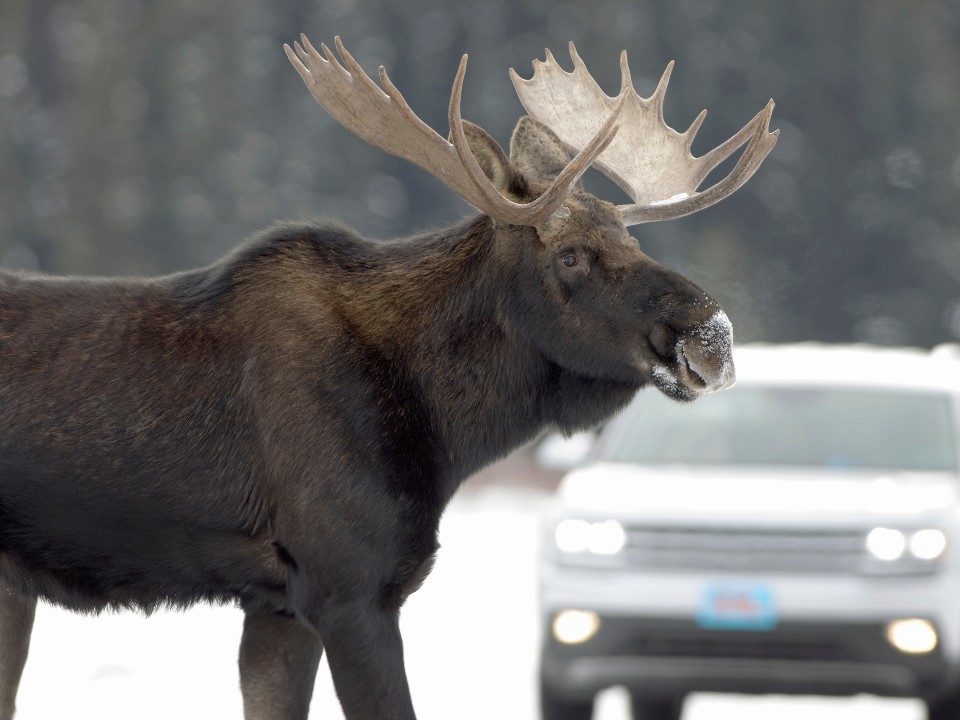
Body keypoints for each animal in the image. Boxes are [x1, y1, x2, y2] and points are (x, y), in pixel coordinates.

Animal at [0, 33, 776, 720]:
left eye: (631, 239)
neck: (444, 433)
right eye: (571, 256)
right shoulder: (348, 588)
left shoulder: (277, 604)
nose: (712, 336)